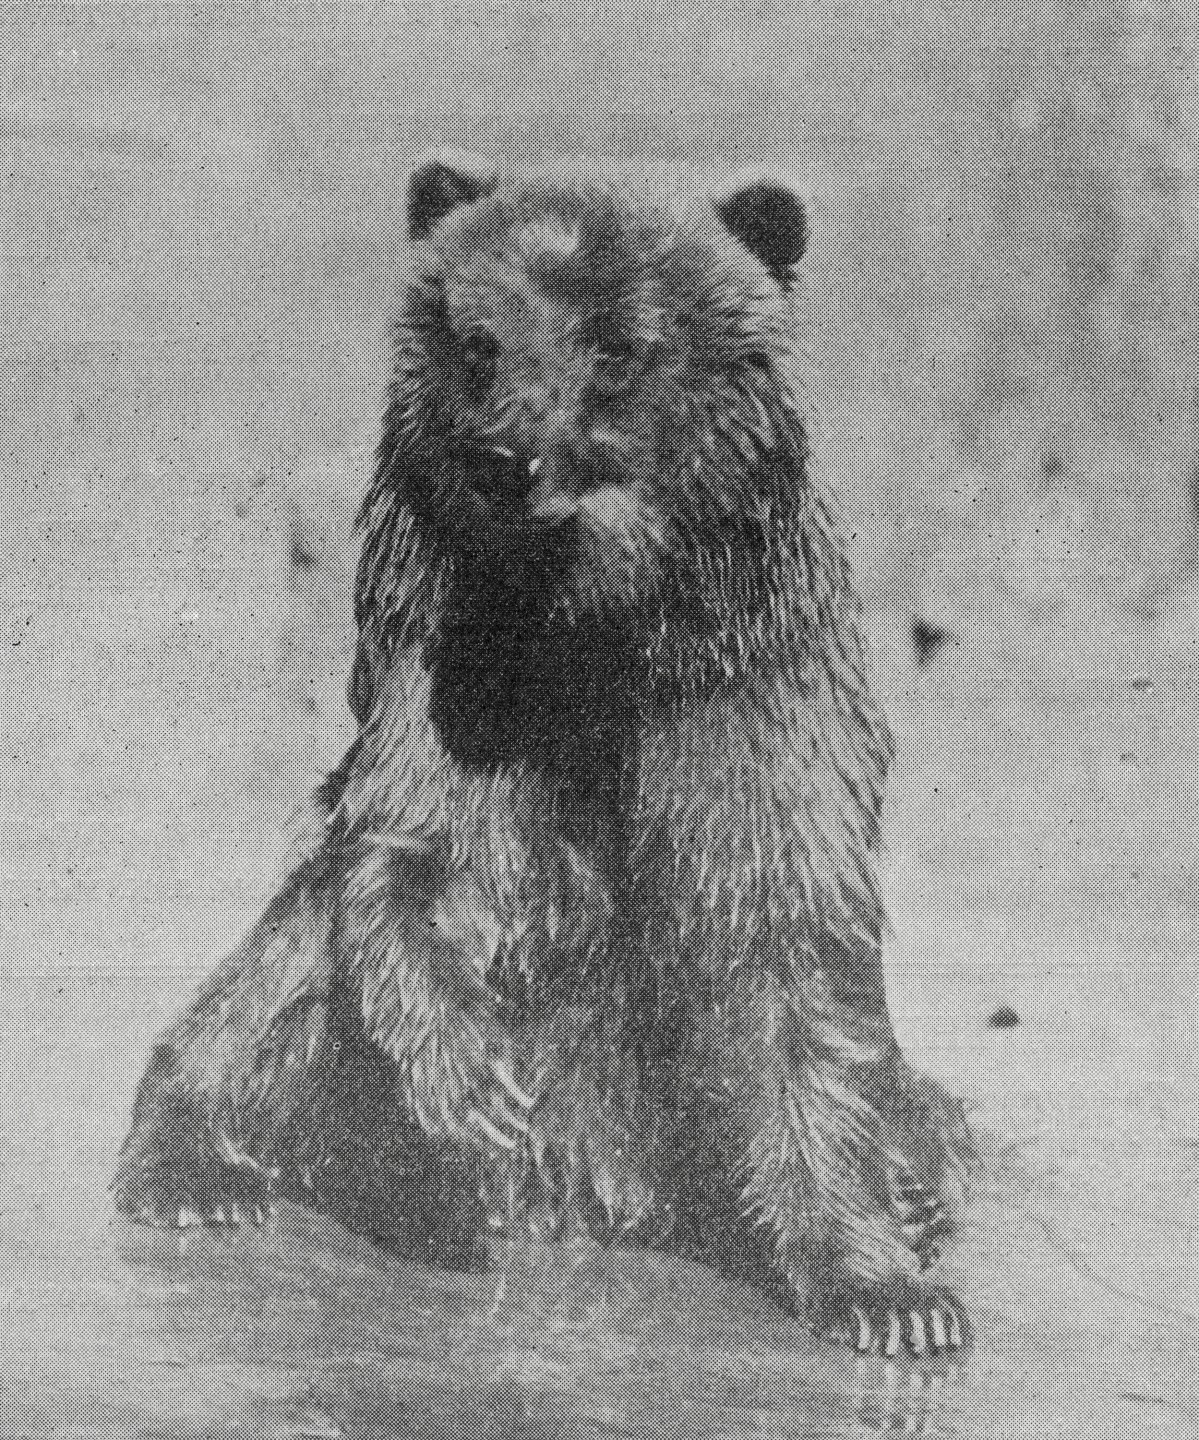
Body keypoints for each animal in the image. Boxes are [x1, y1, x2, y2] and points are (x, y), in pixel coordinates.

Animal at [112, 157, 973, 1359]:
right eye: (479, 341)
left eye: (617, 346)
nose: (502, 458)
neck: (592, 624)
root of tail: (592, 1201)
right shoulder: (461, 678)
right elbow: (416, 860)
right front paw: (475, 1082)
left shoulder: (738, 700)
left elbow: (789, 949)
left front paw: (886, 1292)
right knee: (273, 977)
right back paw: (199, 1167)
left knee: (925, 1115)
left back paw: (917, 1188)